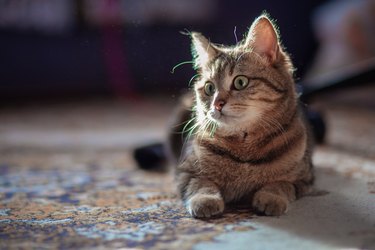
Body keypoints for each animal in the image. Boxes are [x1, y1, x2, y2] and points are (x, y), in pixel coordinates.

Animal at [167, 13, 314, 218]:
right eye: (209, 88)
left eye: (240, 82)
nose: (217, 104)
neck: (244, 152)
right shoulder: (184, 172)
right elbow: (200, 184)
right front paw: (205, 200)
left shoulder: (304, 179)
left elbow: (281, 184)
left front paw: (271, 198)